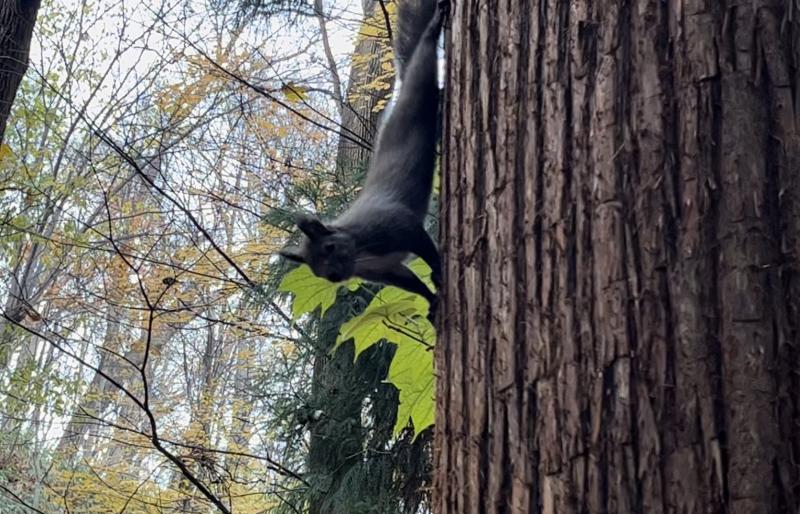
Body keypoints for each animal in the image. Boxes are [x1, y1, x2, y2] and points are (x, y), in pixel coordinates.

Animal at [278, 0, 446, 320]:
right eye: (315, 271)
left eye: (329, 247)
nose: (335, 277)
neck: (359, 248)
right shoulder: (385, 270)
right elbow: (412, 282)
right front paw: (432, 303)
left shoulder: (396, 226)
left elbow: (426, 247)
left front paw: (441, 271)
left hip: (420, 81)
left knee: (425, 57)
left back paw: (433, 29)